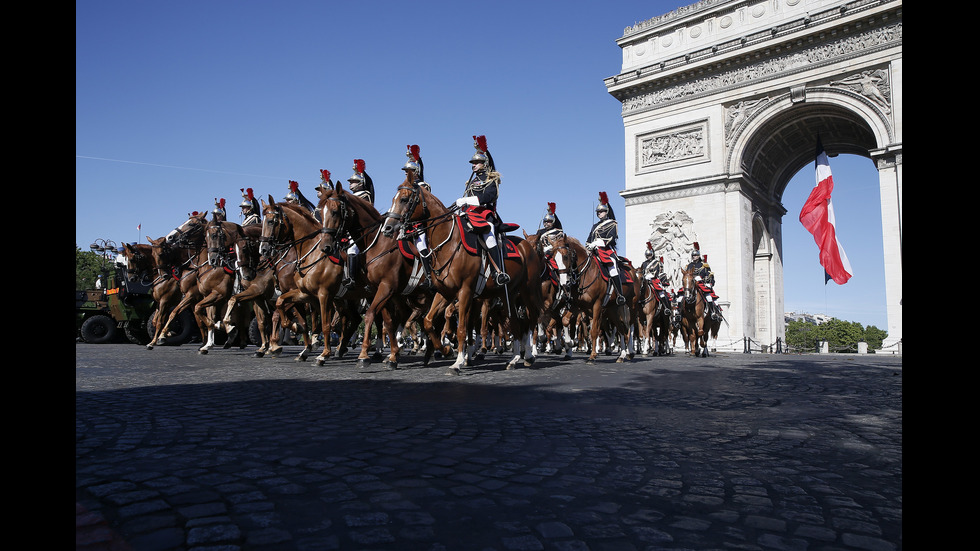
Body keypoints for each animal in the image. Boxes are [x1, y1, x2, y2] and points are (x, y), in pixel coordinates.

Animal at [378, 182, 544, 376]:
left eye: (404, 199)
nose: (388, 228)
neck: (448, 244)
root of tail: (526, 246)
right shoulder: (445, 293)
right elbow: (428, 322)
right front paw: (445, 350)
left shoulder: (465, 292)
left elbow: (462, 329)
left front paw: (457, 362)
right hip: (507, 294)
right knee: (515, 322)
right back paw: (514, 358)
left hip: (528, 291)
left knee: (532, 319)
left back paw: (529, 355)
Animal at [544, 234, 636, 366]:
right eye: (554, 259)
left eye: (565, 256)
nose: (563, 283)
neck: (585, 274)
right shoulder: (576, 305)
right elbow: (565, 321)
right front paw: (570, 343)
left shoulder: (597, 305)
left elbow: (593, 331)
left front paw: (592, 356)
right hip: (613, 309)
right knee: (621, 329)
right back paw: (622, 355)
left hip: (631, 305)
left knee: (630, 328)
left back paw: (630, 352)